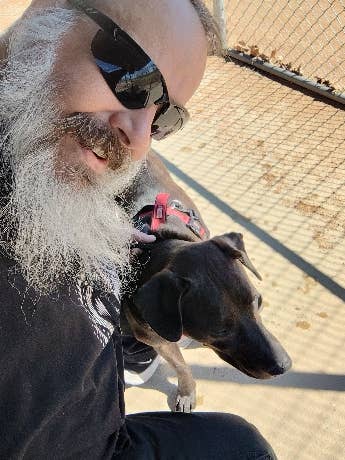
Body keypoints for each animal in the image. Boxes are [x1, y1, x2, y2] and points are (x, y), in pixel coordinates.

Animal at [120, 151, 290, 414]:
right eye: (219, 330)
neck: (158, 246)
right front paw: (187, 391)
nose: (285, 366)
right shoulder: (156, 337)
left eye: (258, 302)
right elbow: (180, 364)